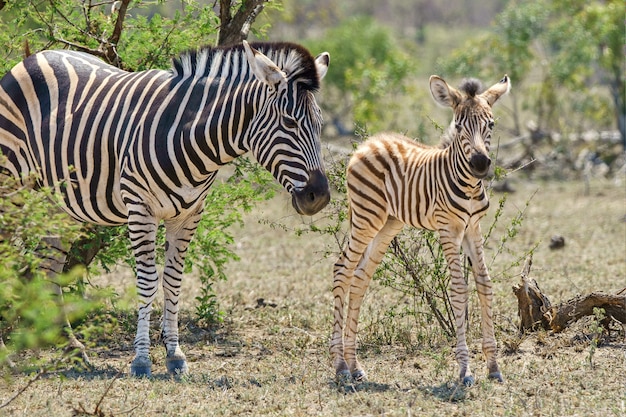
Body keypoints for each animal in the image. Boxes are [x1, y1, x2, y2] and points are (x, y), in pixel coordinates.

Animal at [0, 40, 332, 376]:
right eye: (289, 122)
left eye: (320, 124)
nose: (319, 196)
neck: (192, 137)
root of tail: (34, 57)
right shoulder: (140, 208)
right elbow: (147, 282)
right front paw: (141, 359)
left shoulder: (189, 214)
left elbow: (173, 281)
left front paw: (174, 354)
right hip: (10, 186)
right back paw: (8, 354)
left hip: (57, 203)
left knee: (48, 268)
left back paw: (72, 349)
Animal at [330, 75, 510, 386]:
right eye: (458, 126)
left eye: (491, 124)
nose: (480, 164)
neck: (468, 186)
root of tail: (368, 142)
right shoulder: (448, 229)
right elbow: (459, 288)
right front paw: (465, 370)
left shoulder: (473, 228)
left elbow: (484, 284)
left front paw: (493, 366)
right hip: (366, 217)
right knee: (343, 269)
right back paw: (340, 365)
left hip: (388, 223)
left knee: (361, 276)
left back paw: (355, 366)